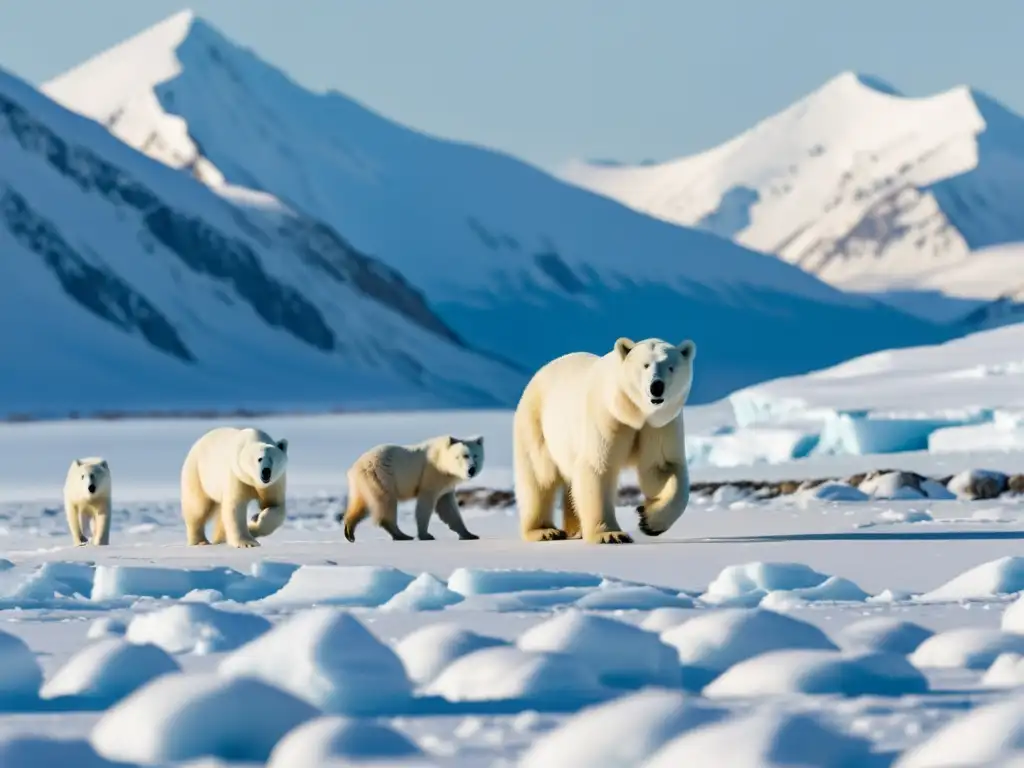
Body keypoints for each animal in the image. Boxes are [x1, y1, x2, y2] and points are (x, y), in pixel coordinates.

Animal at [344, 436, 483, 544]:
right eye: (465, 455)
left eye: (476, 455)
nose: (472, 469)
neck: (441, 459)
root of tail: (355, 466)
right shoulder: (432, 474)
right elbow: (425, 504)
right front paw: (426, 535)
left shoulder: (446, 485)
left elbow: (448, 508)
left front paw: (470, 535)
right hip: (381, 477)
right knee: (386, 502)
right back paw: (402, 535)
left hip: (362, 483)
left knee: (360, 503)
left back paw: (349, 531)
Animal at [512, 337, 696, 548]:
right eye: (645, 365)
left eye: (671, 367)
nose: (656, 386)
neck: (633, 412)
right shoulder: (606, 416)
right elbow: (599, 467)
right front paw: (610, 535)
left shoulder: (659, 426)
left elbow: (662, 468)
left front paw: (649, 521)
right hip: (536, 424)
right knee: (540, 477)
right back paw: (544, 531)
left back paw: (575, 529)